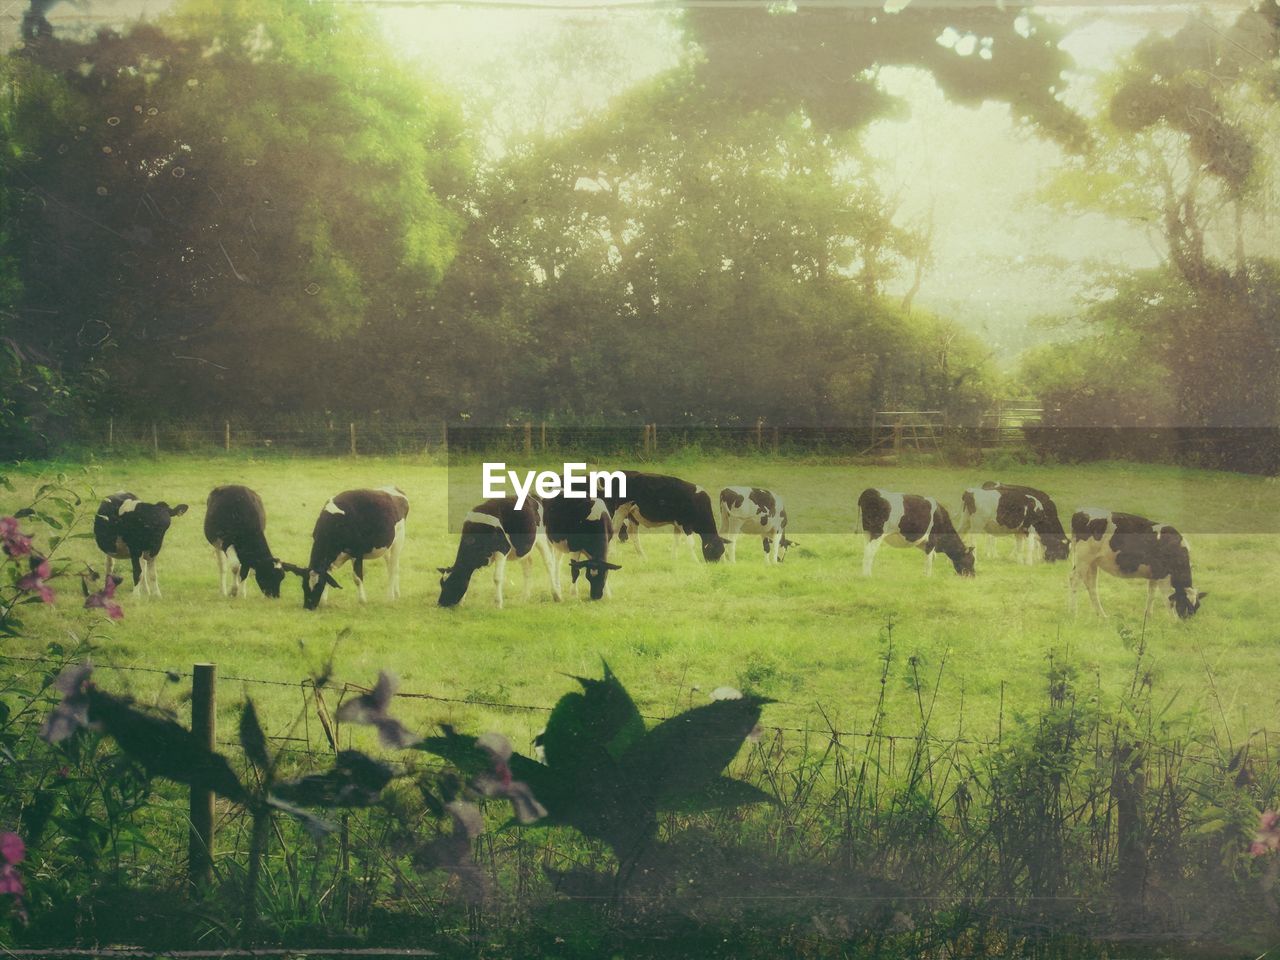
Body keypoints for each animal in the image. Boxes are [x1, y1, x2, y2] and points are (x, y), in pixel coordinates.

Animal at [282, 483, 407, 611]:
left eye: (318, 586)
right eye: (303, 585)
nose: (308, 606)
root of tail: (393, 488)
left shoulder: (357, 552)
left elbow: (357, 578)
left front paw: (362, 600)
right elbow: (328, 575)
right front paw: (323, 601)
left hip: (399, 540)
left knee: (393, 568)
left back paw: (390, 597)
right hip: (387, 547)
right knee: (392, 566)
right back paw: (396, 593)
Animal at [596, 473, 727, 563]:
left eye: (722, 551)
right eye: (715, 551)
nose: (714, 565)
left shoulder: (677, 524)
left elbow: (676, 542)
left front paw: (674, 559)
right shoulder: (685, 524)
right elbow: (691, 544)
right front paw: (696, 562)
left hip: (632, 514)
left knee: (633, 535)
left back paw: (643, 557)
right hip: (621, 510)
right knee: (615, 530)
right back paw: (613, 555)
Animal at [1070, 506, 1208, 619]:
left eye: (1197, 606)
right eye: (1184, 605)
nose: (1186, 623)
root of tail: (1081, 512)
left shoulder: (1154, 574)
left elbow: (1151, 595)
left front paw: (1149, 616)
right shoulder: (1163, 576)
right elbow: (1167, 599)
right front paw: (1173, 621)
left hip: (1092, 562)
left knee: (1091, 586)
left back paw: (1102, 616)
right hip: (1083, 559)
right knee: (1074, 581)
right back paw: (1073, 613)